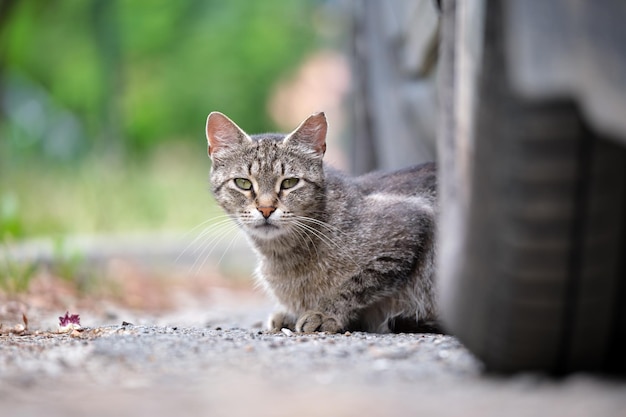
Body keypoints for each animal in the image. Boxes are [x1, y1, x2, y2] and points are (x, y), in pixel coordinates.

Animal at [205, 110, 434, 332]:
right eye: (243, 183)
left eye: (290, 182)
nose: (266, 208)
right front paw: (290, 314)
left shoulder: (407, 227)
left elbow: (355, 285)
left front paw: (324, 313)